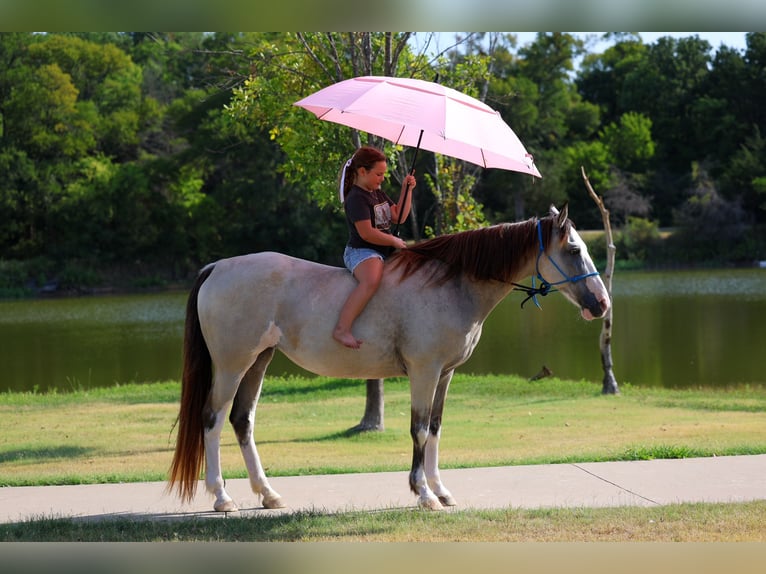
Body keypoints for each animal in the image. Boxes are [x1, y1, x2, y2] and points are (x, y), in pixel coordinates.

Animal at [168, 204, 610, 511]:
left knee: (242, 420)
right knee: (213, 419)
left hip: (258, 361)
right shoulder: (424, 372)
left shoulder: (445, 374)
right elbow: (419, 429)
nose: (602, 304)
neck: (450, 284)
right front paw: (423, 493)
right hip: (232, 365)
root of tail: (218, 267)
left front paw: (441, 490)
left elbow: (436, 429)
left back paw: (268, 494)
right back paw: (222, 496)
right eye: (574, 249)